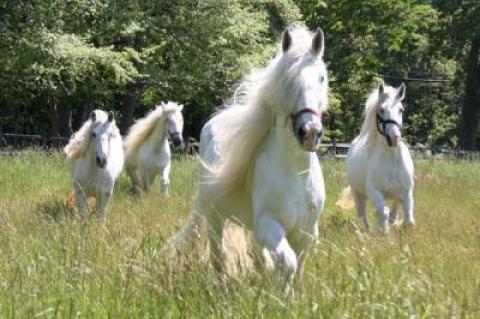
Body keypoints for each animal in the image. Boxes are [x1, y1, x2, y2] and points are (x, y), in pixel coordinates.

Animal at [170, 26, 330, 294]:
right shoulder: (269, 224)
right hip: (215, 215)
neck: (296, 174)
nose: (309, 132)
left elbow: (298, 265)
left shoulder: (307, 230)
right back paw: (222, 285)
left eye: (322, 78)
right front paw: (283, 296)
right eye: (288, 81)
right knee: (218, 254)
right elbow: (288, 262)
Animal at [338, 84, 412, 235]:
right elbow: (382, 213)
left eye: (401, 109)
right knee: (363, 214)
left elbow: (409, 220)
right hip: (359, 194)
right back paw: (365, 231)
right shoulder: (374, 191)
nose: (394, 138)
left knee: (394, 210)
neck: (390, 160)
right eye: (381, 110)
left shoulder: (406, 191)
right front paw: (384, 233)